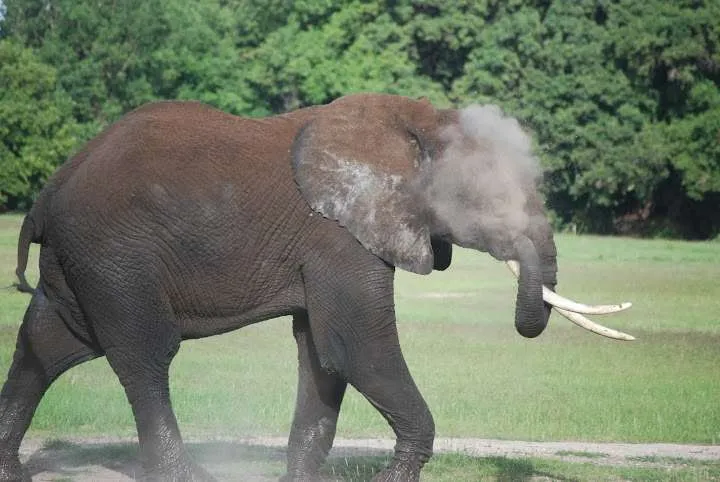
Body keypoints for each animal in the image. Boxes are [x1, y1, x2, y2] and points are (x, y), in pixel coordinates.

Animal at [3, 93, 632, 481]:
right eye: (484, 195)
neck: (412, 122)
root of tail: (50, 189)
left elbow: (321, 357)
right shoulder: (339, 237)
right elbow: (357, 348)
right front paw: (393, 477)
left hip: (83, 262)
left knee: (45, 347)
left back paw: (14, 471)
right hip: (114, 256)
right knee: (145, 354)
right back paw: (187, 473)